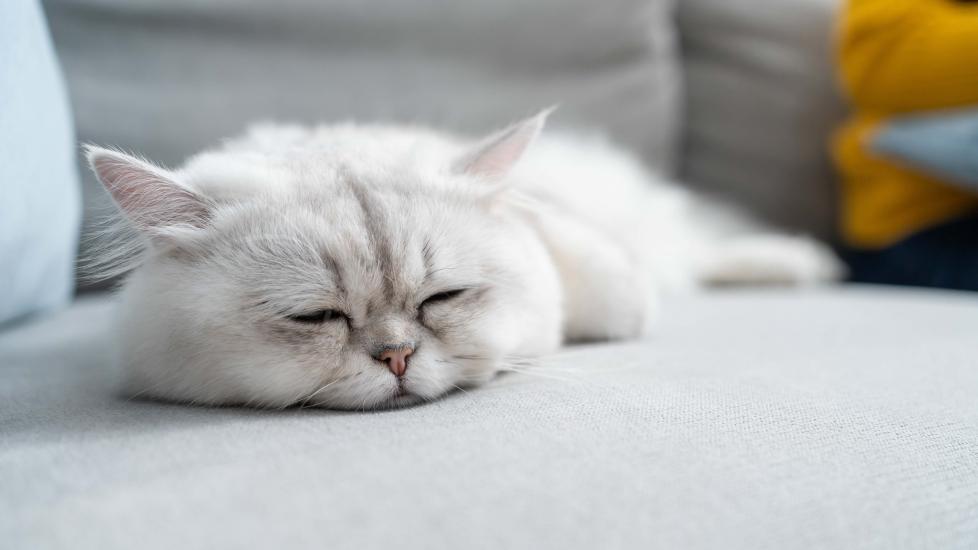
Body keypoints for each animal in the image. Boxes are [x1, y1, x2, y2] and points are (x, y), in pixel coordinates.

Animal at [87, 110, 844, 410]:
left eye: (440, 299)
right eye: (315, 317)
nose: (396, 358)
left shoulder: (610, 282)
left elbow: (610, 288)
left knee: (701, 246)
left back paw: (804, 262)